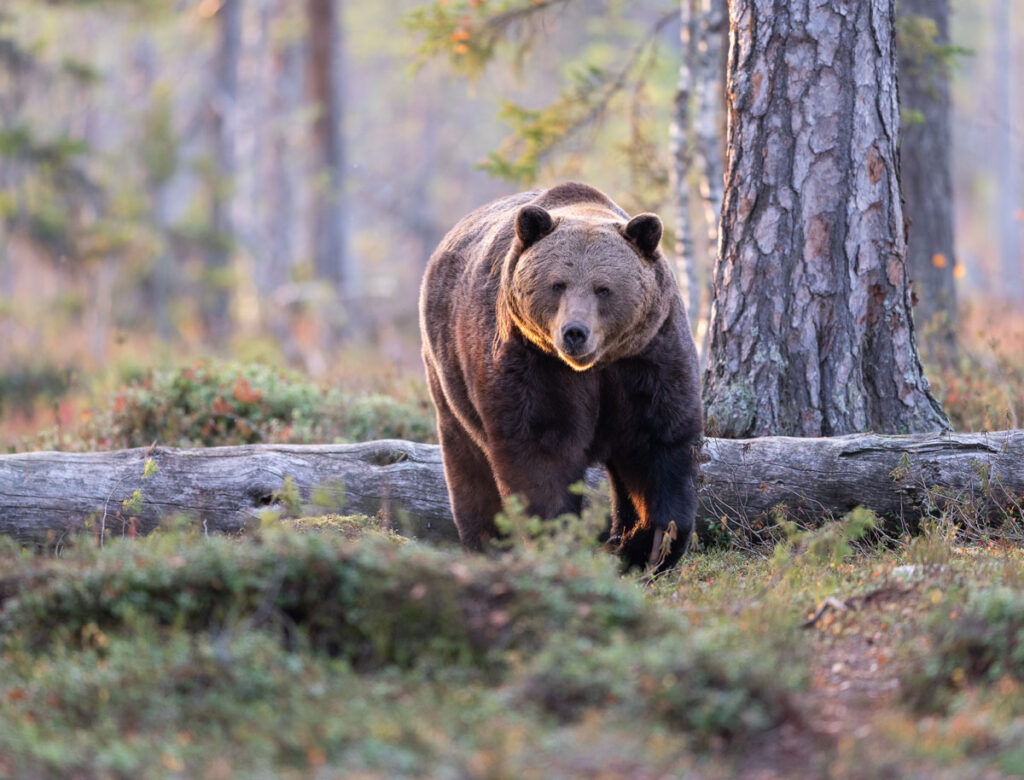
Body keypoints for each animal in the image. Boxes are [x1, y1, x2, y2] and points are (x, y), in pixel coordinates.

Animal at [417, 183, 704, 573]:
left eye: (603, 288)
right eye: (558, 284)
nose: (575, 333)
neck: (595, 367)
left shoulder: (647, 357)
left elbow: (658, 444)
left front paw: (648, 546)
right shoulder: (534, 365)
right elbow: (542, 448)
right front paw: (556, 537)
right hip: (449, 368)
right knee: (466, 458)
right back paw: (487, 541)